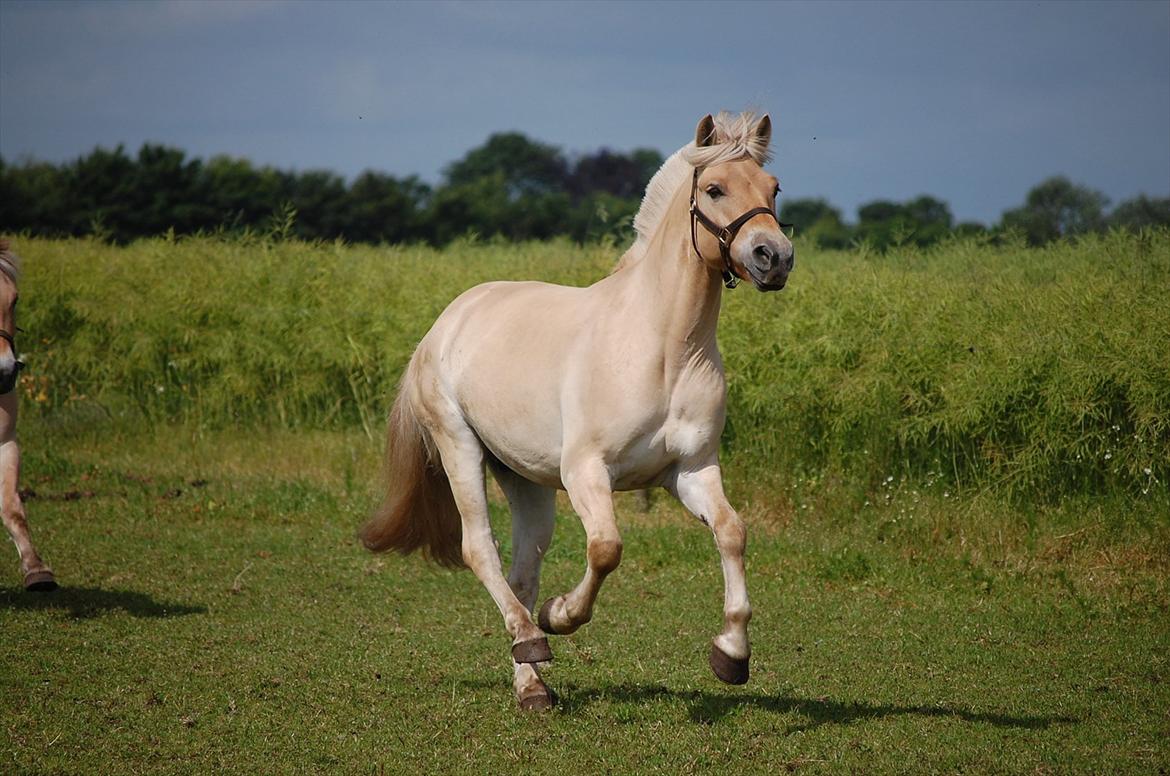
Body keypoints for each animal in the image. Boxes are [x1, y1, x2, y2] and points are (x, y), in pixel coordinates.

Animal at [360, 112, 790, 711]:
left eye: (773, 189)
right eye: (714, 188)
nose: (774, 257)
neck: (666, 350)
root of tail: (447, 322)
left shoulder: (691, 471)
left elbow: (732, 531)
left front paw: (731, 654)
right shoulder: (586, 471)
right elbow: (606, 549)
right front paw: (560, 616)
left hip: (524, 478)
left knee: (523, 568)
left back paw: (532, 685)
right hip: (459, 447)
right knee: (480, 550)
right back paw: (533, 640)